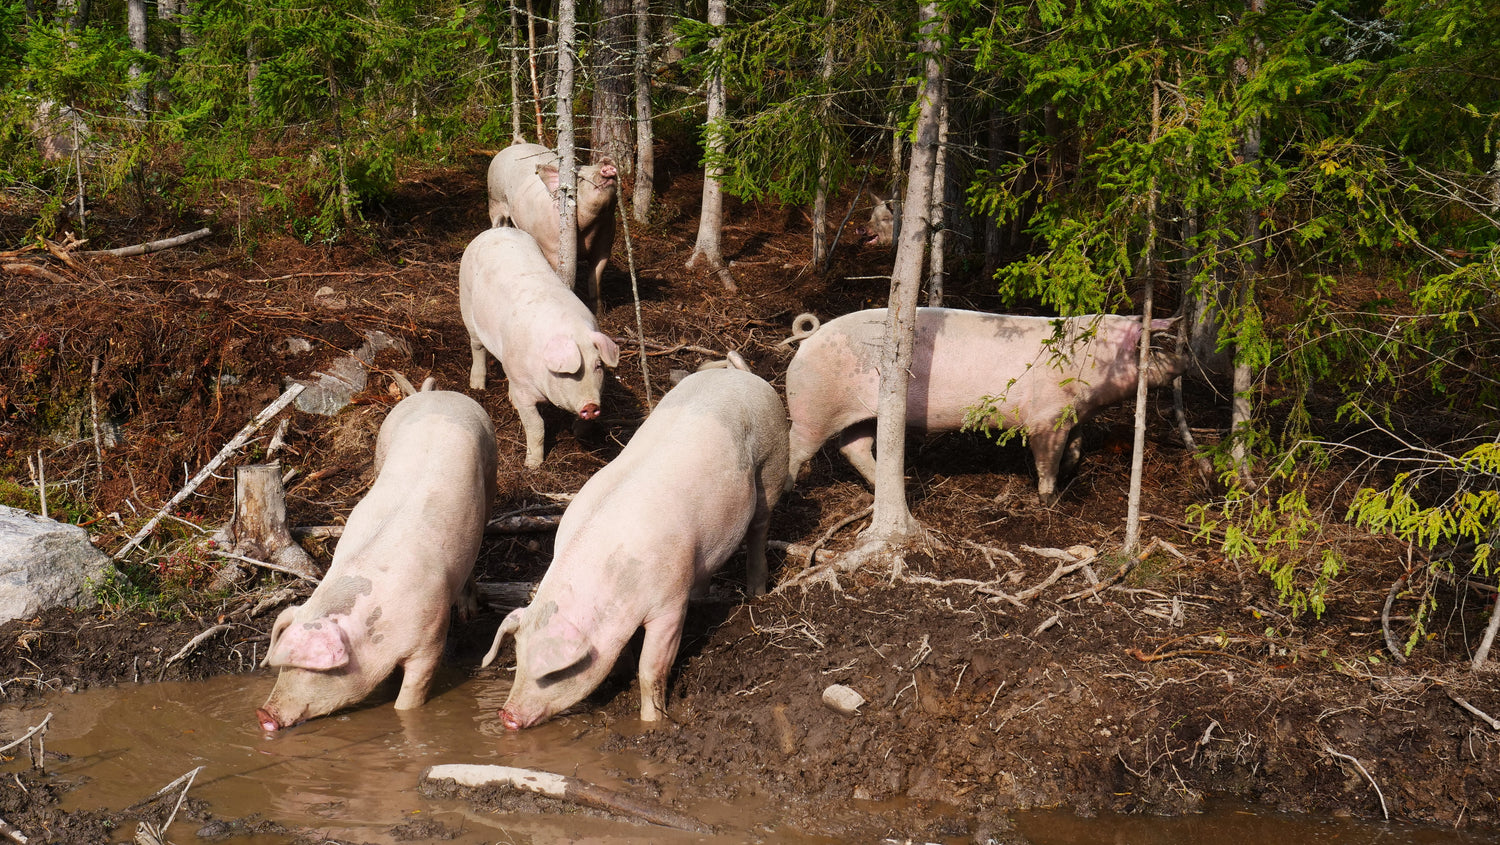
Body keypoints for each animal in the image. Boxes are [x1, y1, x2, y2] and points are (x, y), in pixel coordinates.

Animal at [255, 388, 497, 732]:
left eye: (309, 669)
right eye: (283, 666)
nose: (263, 715)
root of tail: (441, 394)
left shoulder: (430, 638)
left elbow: (411, 695)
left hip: (491, 465)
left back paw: (468, 613)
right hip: (382, 446)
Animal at [459, 226, 620, 468]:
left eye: (598, 366)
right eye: (570, 373)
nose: (591, 406)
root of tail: (496, 230)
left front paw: (578, 432)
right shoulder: (524, 390)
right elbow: (536, 426)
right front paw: (532, 465)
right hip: (466, 299)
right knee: (477, 346)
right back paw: (478, 387)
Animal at [481, 357, 790, 729]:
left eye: (553, 674)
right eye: (519, 657)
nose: (506, 716)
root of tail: (740, 374)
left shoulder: (669, 604)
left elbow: (651, 669)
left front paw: (651, 723)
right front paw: (622, 676)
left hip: (772, 461)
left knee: (760, 528)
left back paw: (757, 593)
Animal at [487, 142, 619, 311]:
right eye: (580, 179)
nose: (606, 162)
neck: (591, 228)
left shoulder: (605, 245)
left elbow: (595, 278)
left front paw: (599, 312)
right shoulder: (551, 248)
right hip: (494, 198)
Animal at [784, 308, 1187, 504]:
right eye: (1157, 344)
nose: (1184, 362)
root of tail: (811, 336)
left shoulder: (1071, 416)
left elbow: (1075, 444)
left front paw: (1072, 468)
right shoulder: (1045, 417)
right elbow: (1046, 457)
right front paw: (1049, 499)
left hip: (866, 414)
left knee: (853, 447)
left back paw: (900, 481)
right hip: (811, 406)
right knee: (798, 447)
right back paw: (788, 488)